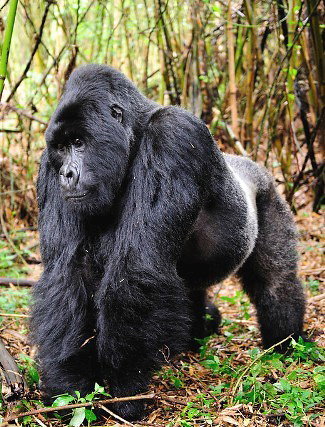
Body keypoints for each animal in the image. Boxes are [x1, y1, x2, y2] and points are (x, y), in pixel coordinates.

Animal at [31, 64, 306, 422]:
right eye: (61, 148)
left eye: (79, 142)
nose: (66, 174)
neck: (135, 133)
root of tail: (250, 163)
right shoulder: (47, 167)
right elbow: (67, 274)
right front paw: (69, 386)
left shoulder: (173, 136)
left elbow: (137, 266)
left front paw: (126, 390)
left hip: (269, 194)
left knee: (276, 281)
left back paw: (286, 344)